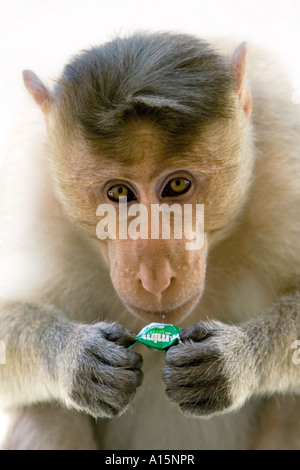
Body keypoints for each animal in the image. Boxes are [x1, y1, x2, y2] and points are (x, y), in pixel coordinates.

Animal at [0, 31, 300, 450]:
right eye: (119, 192)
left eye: (178, 185)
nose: (155, 277)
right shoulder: (32, 185)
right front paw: (77, 357)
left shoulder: (286, 165)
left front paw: (235, 357)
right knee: (45, 410)